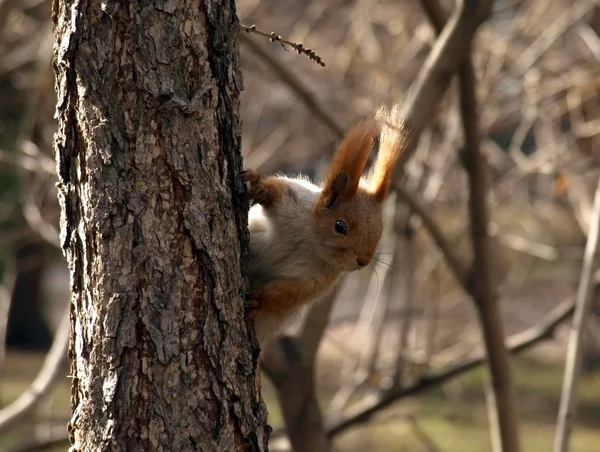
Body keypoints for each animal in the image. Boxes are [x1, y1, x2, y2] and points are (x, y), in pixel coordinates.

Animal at [241, 105, 406, 350]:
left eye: (380, 230)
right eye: (340, 226)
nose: (363, 262)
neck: (311, 240)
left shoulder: (316, 279)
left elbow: (290, 294)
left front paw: (260, 300)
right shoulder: (294, 201)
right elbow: (279, 190)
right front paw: (259, 186)